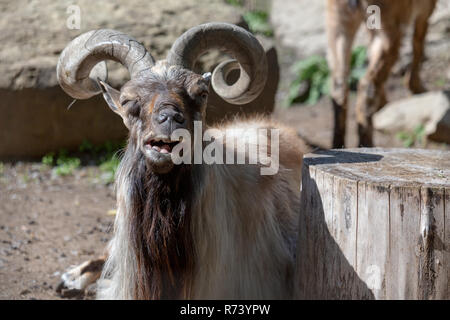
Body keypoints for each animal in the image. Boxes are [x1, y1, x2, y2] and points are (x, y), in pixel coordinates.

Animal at [326, 0, 436, 148]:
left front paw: (383, 105)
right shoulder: (425, 8)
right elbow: (418, 41)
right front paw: (417, 88)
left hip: (337, 22)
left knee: (339, 83)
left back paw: (338, 145)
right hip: (386, 24)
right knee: (367, 83)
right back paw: (366, 143)